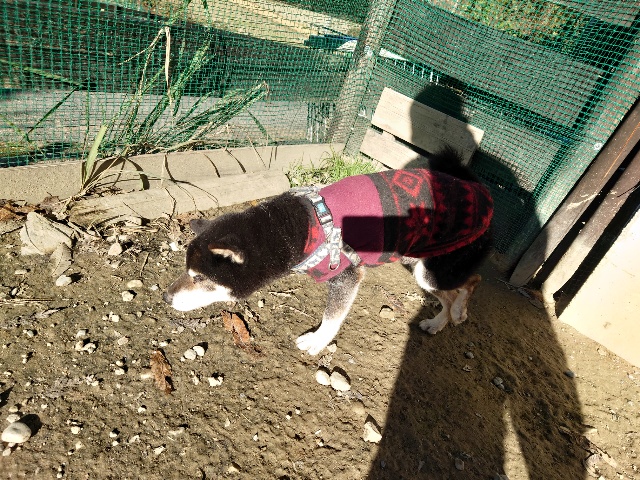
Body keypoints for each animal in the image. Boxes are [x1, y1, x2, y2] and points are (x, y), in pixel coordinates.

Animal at [164, 149, 493, 355]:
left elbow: (332, 317)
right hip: (417, 259)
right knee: (462, 286)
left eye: (199, 277)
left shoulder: (347, 275)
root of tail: (480, 191)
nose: (166, 297)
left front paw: (317, 342)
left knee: (469, 283)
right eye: (185, 270)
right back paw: (445, 320)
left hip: (431, 271)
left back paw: (451, 316)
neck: (299, 227)